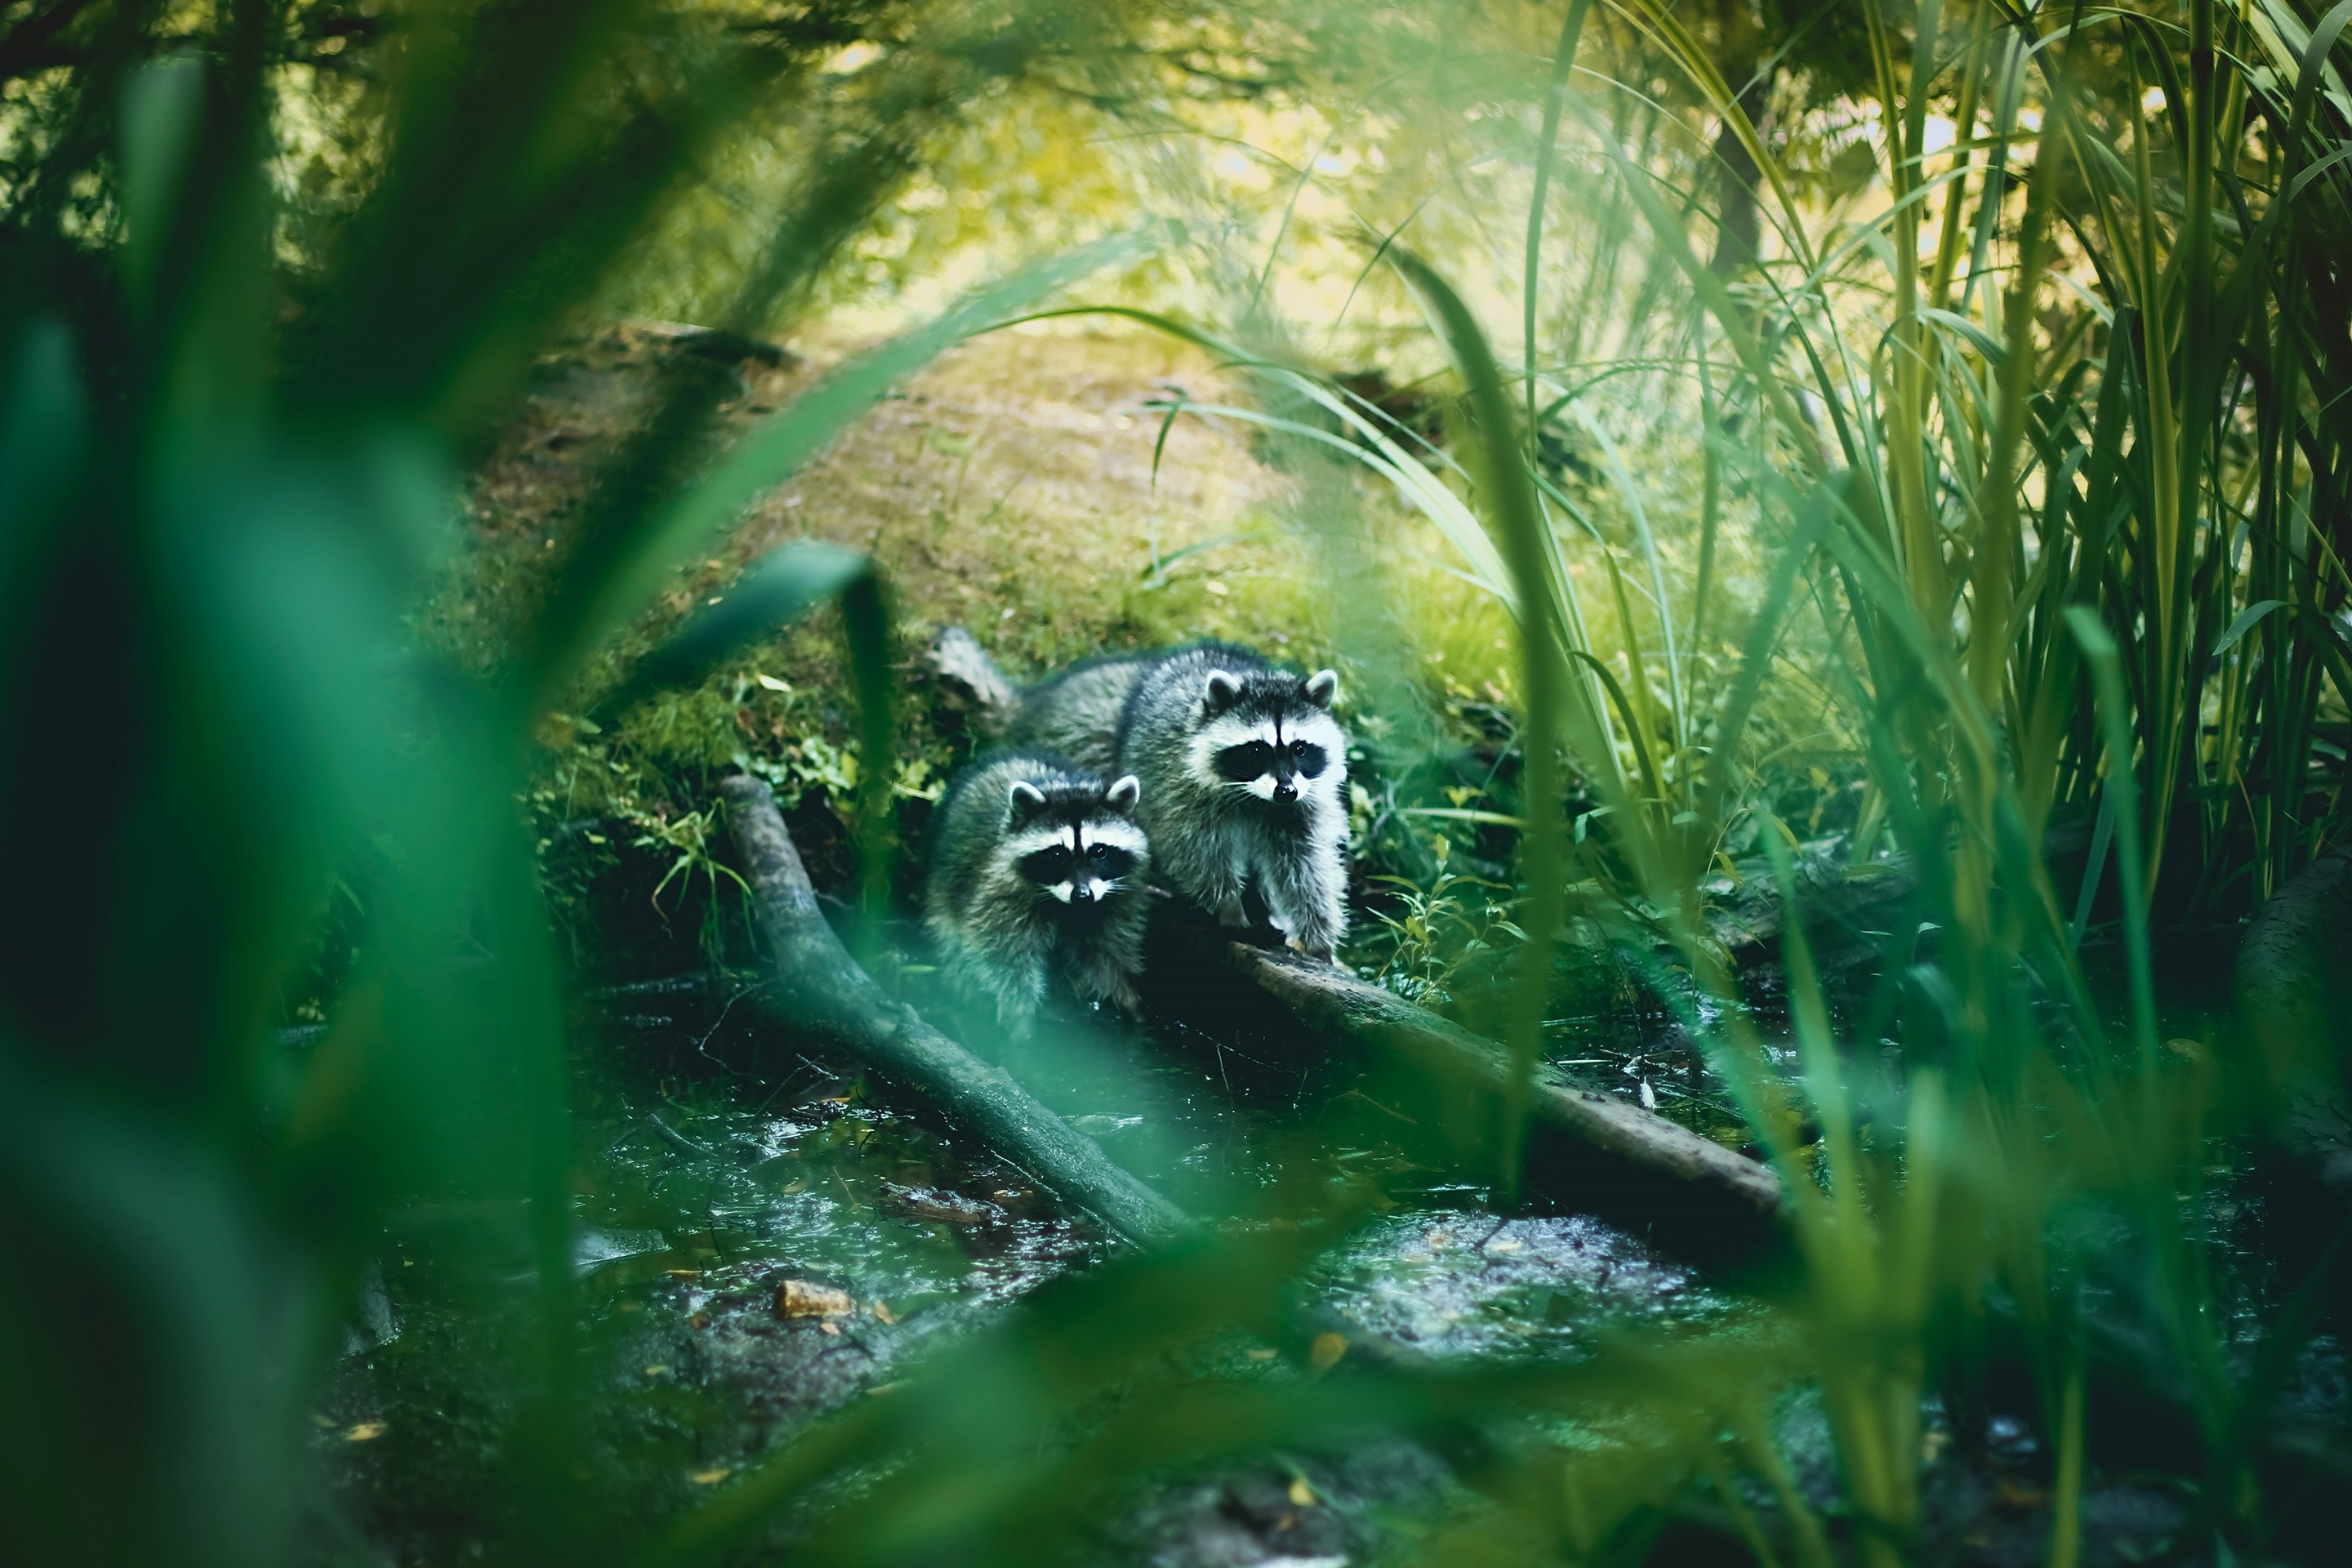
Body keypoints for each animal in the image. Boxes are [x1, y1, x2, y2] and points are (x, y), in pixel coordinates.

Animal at [924, 751, 1151, 1033]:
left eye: (1099, 851)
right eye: (1057, 855)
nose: (1082, 895)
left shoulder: (1114, 903)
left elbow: (1108, 952)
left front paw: (1127, 998)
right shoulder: (1000, 894)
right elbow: (1002, 954)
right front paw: (1019, 1015)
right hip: (946, 882)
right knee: (954, 945)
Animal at [1111, 642, 1350, 960]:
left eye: (1299, 748)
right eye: (1256, 750)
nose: (1285, 792)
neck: (1257, 797)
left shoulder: (1302, 804)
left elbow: (1305, 864)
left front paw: (1318, 936)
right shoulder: (1183, 790)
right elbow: (1199, 853)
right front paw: (1230, 908)